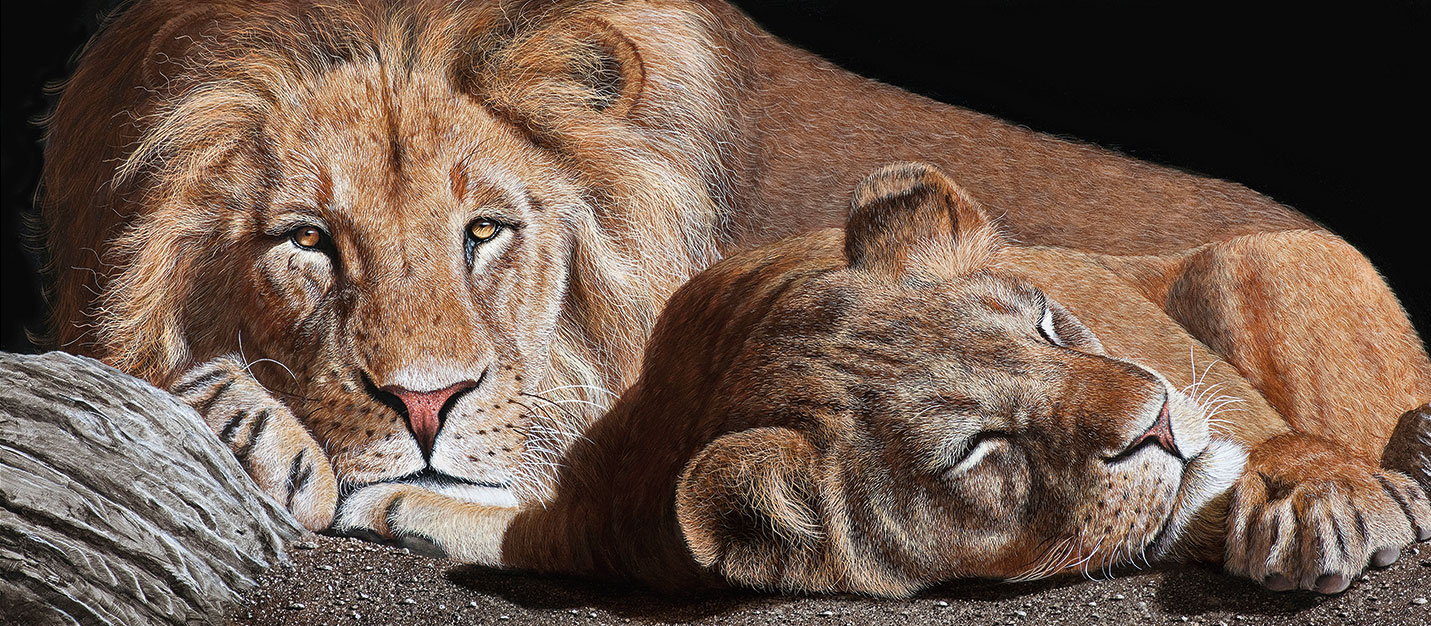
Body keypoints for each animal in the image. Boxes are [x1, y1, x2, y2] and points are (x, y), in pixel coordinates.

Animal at [330, 163, 1431, 597]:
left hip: (1253, 259)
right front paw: (386, 499)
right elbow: (501, 521)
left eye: (1045, 324)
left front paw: (1322, 499)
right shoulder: (601, 516)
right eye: (982, 447)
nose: (1157, 415)